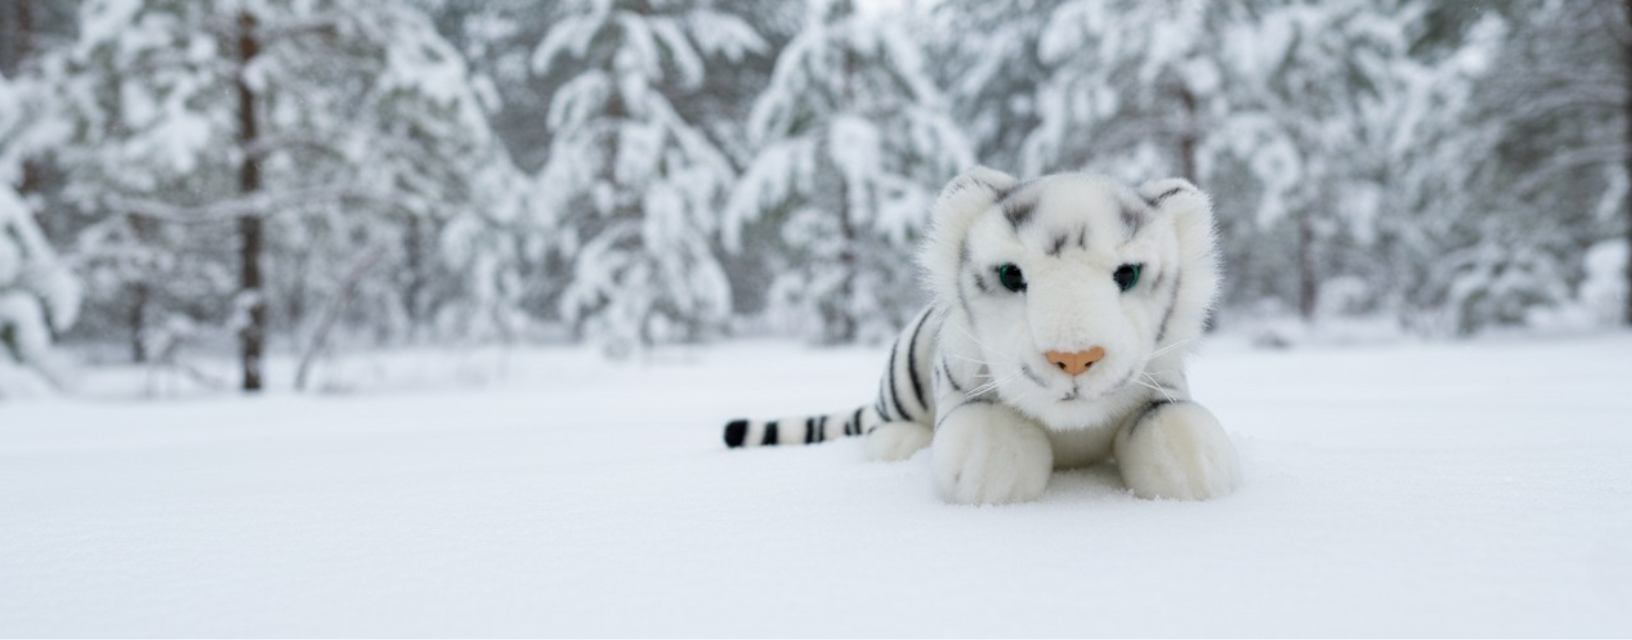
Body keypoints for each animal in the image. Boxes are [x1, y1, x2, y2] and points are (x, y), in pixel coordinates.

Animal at [722, 167, 1242, 505]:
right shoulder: (964, 390)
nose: (1073, 357)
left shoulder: (1163, 383)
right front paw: (990, 476)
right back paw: (896, 444)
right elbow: (989, 432)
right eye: (1013, 276)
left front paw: (1197, 470)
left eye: (1127, 274)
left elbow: (1172, 423)